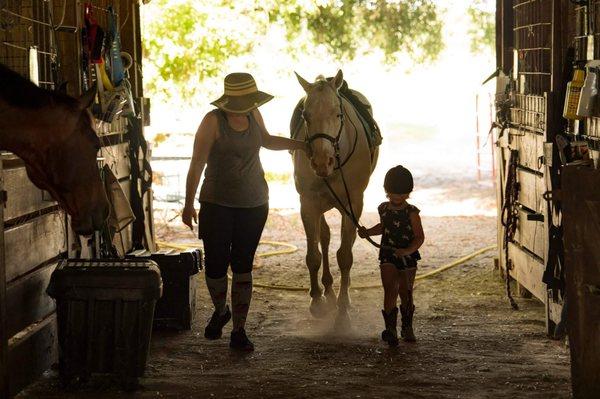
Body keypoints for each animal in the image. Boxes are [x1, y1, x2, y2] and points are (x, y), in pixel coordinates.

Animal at [292, 71, 380, 328]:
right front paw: (317, 301)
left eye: (337, 114)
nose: (322, 161)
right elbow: (313, 255)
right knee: (325, 238)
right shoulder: (308, 203)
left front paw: (342, 313)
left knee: (346, 243)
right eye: (305, 115)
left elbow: (345, 256)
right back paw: (328, 291)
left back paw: (344, 295)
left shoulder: (353, 203)